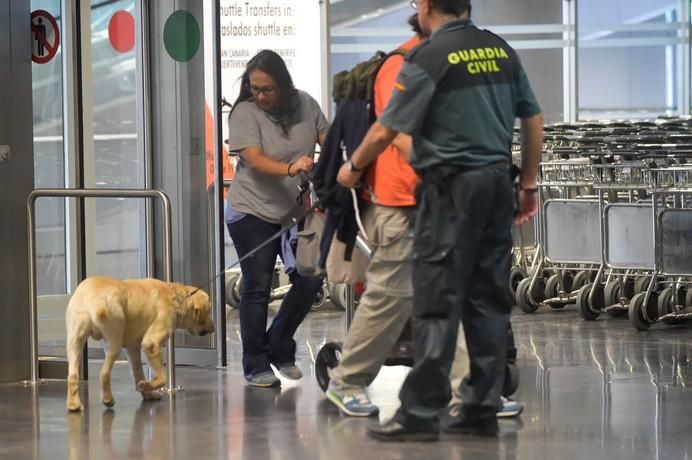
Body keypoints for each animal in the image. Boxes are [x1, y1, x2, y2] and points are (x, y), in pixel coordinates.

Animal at [66, 274, 216, 412]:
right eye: (209, 311)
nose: (214, 328)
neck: (175, 296)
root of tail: (92, 298)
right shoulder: (151, 344)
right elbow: (163, 377)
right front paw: (146, 386)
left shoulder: (133, 348)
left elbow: (138, 372)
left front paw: (148, 393)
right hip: (114, 343)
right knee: (104, 373)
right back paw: (108, 399)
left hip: (75, 342)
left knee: (73, 375)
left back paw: (74, 405)